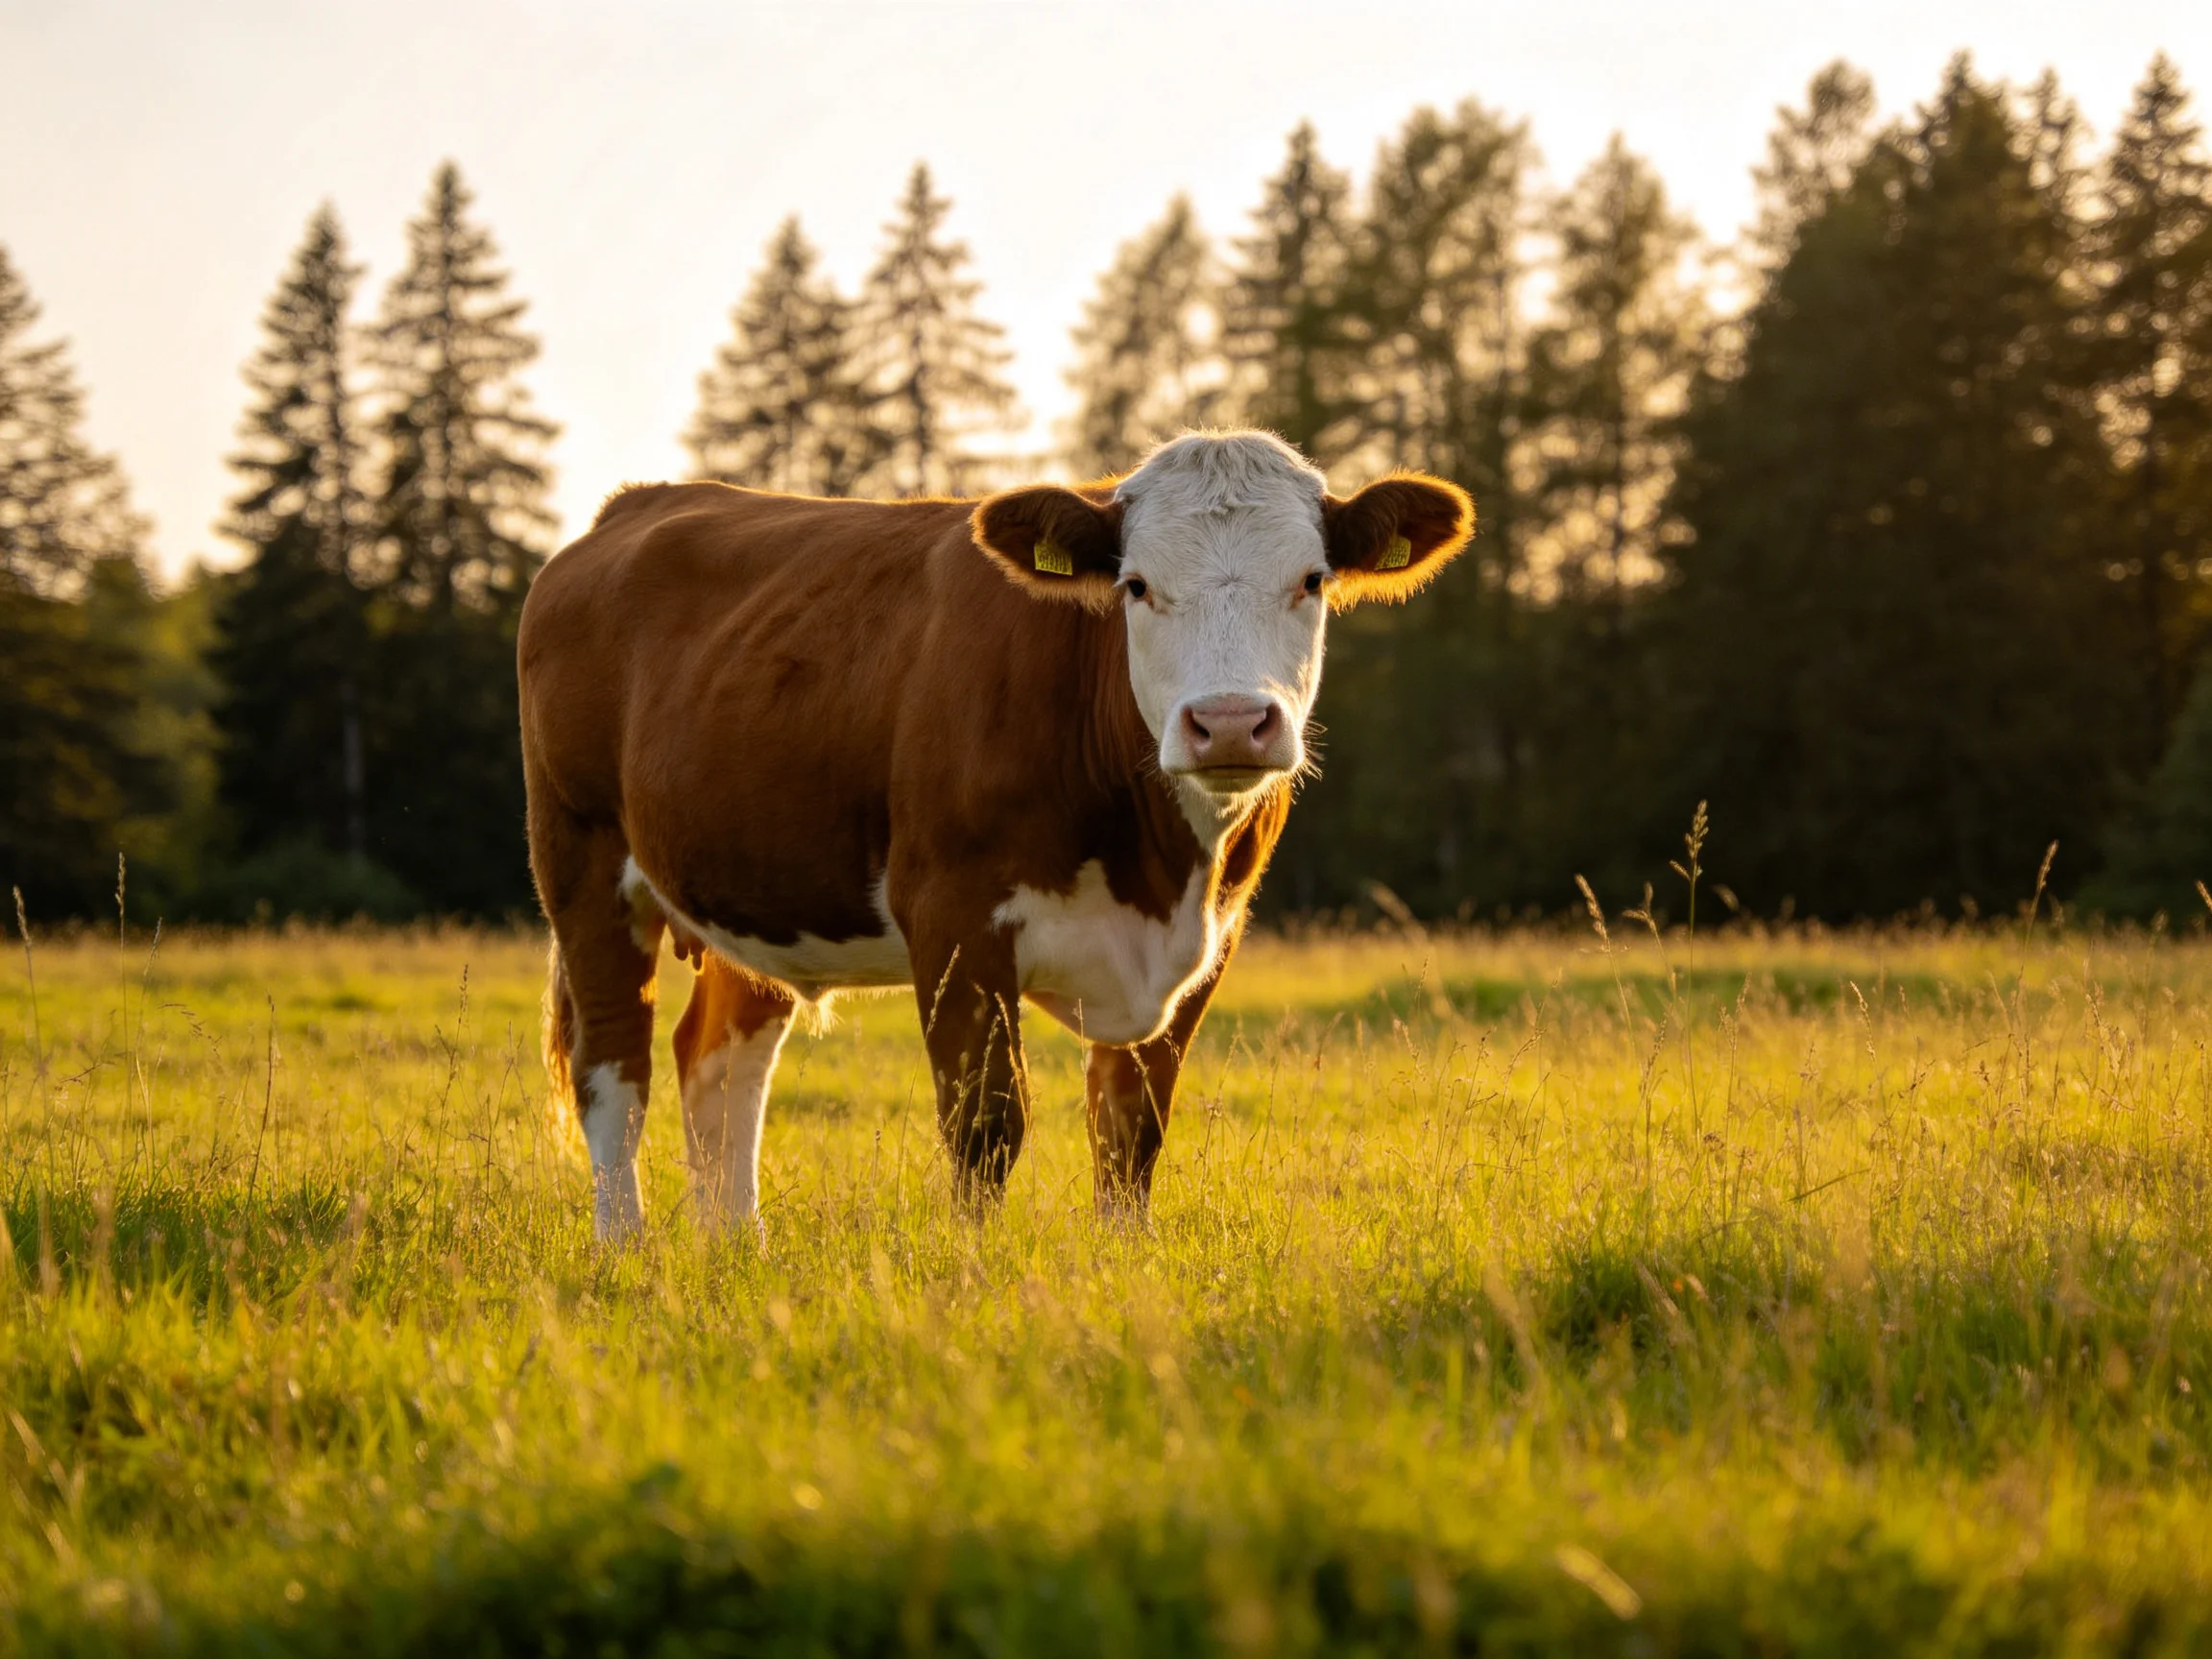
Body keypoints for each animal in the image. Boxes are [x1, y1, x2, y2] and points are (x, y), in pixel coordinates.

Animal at [519, 430, 1472, 1239]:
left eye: (1311, 579)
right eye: (1136, 585)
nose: (1231, 723)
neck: (1157, 868)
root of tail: (636, 506)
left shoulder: (1213, 938)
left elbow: (1130, 1130)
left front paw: (1124, 1265)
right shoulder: (954, 918)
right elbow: (985, 1126)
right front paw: (971, 1277)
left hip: (759, 884)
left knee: (718, 1060)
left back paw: (735, 1249)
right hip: (583, 860)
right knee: (615, 1069)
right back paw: (625, 1251)